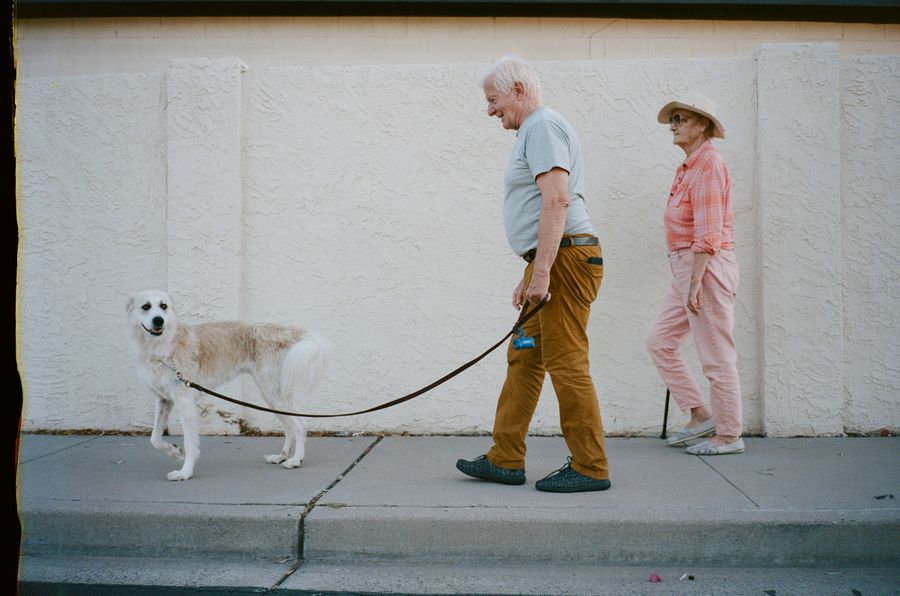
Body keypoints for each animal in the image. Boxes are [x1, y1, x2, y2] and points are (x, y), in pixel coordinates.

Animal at [125, 292, 326, 482]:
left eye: (164, 306)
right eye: (145, 306)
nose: (159, 320)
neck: (165, 347)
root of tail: (287, 331)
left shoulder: (185, 403)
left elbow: (190, 444)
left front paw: (185, 472)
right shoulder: (164, 400)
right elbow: (155, 438)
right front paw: (175, 451)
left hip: (271, 392)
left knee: (299, 425)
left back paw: (296, 460)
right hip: (273, 396)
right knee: (289, 426)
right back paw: (282, 456)